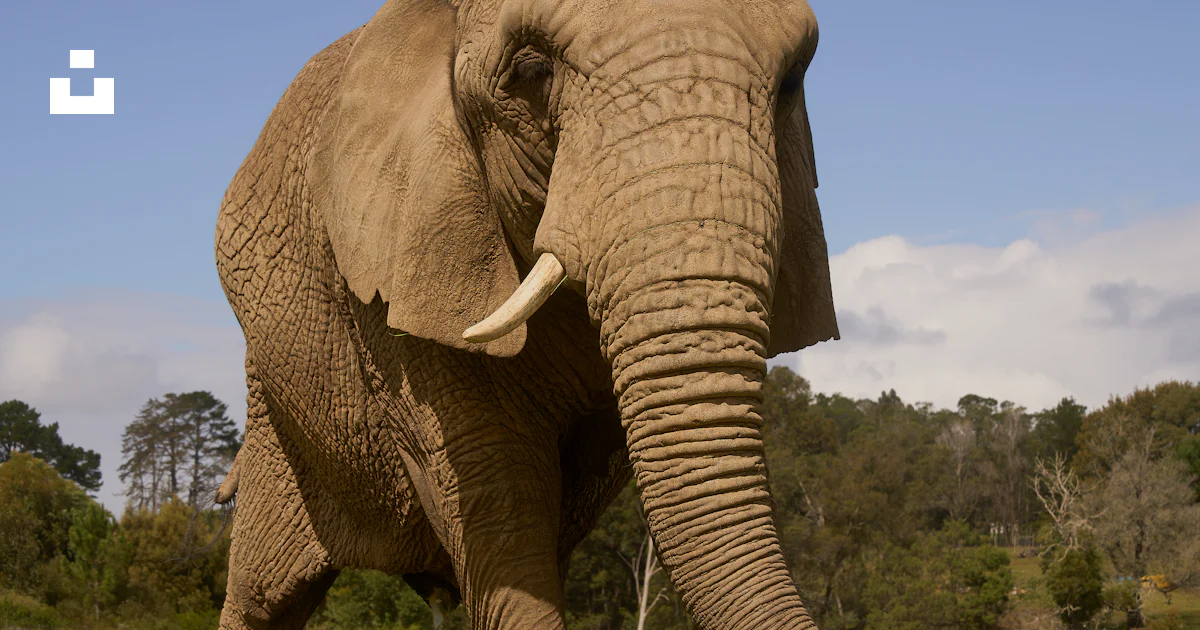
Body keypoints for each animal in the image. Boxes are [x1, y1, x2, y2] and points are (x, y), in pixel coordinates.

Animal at [212, 0, 839, 627]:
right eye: (531, 69)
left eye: (791, 83)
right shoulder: (392, 274)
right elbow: (504, 501)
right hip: (276, 416)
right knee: (261, 594)